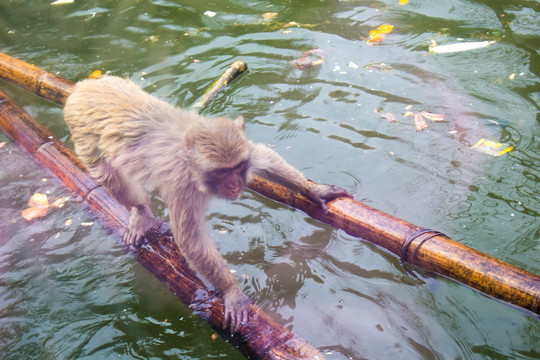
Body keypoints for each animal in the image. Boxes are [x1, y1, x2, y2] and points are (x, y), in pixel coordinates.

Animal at [63, 76, 352, 332]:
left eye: (237, 168)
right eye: (222, 172)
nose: (235, 186)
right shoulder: (182, 184)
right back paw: (140, 211)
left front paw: (315, 191)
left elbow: (266, 159)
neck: (192, 161)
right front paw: (232, 290)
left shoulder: (244, 151)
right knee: (108, 175)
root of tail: (84, 87)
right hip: (84, 137)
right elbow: (190, 239)